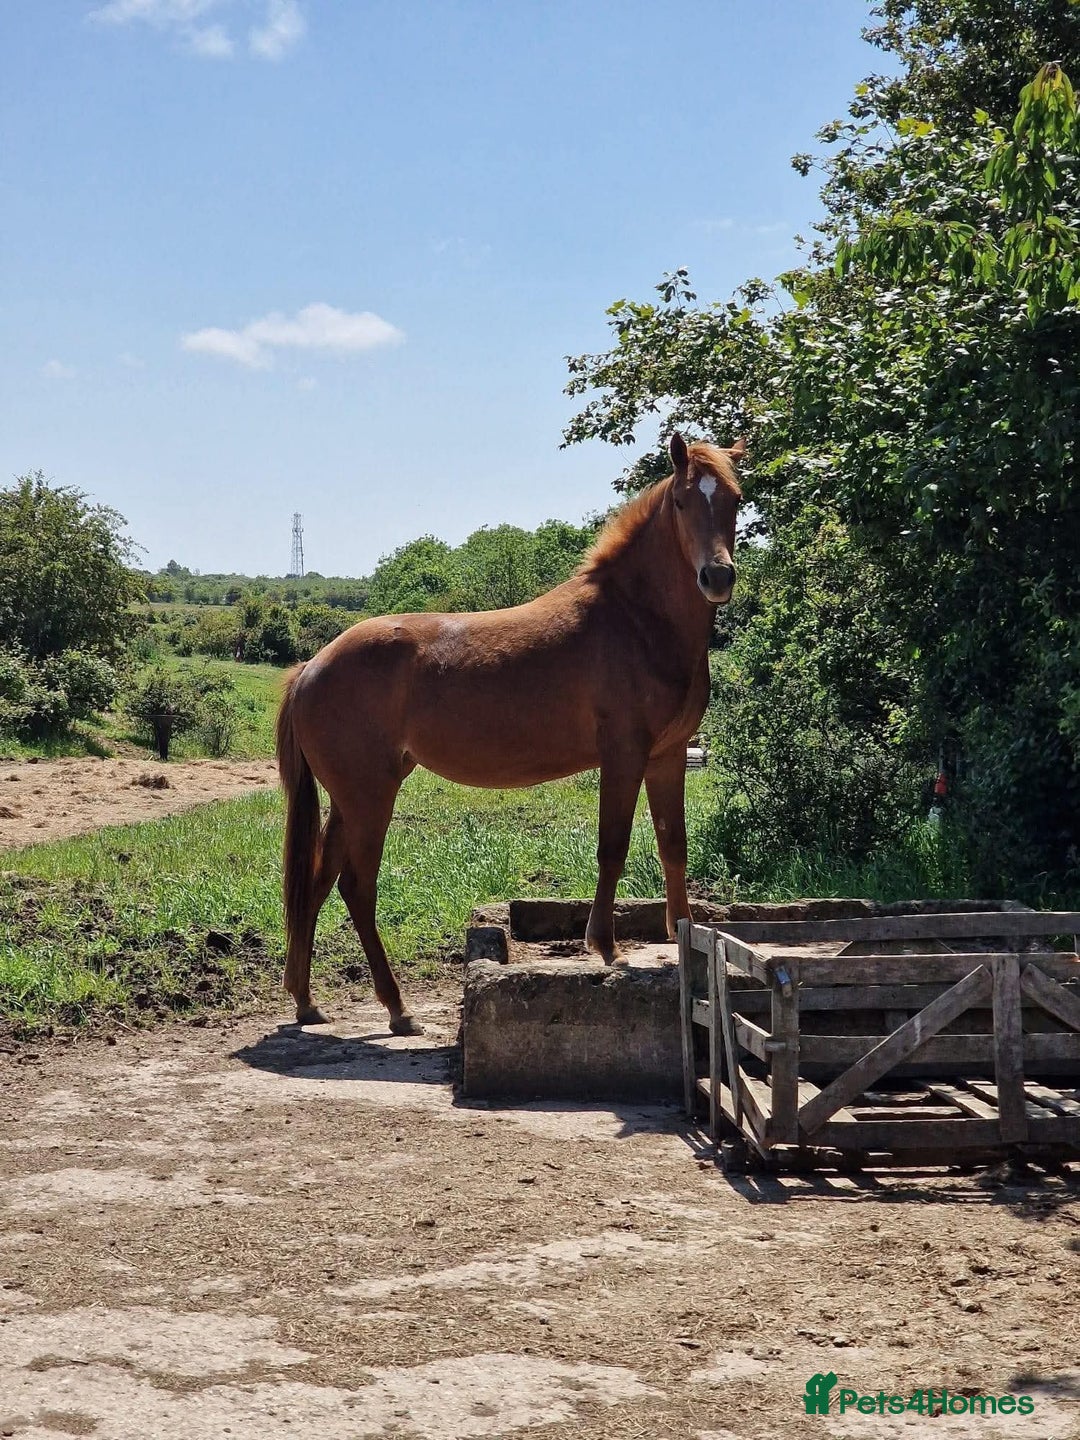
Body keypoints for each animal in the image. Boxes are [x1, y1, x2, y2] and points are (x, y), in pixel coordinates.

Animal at [276, 432, 743, 1032]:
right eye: (683, 502)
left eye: (734, 498)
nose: (717, 577)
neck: (636, 621)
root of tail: (310, 667)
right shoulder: (624, 755)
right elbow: (612, 847)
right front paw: (606, 947)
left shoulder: (669, 755)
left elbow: (673, 846)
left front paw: (683, 942)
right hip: (368, 798)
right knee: (357, 888)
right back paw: (397, 1008)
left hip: (348, 802)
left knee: (316, 884)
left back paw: (307, 1000)